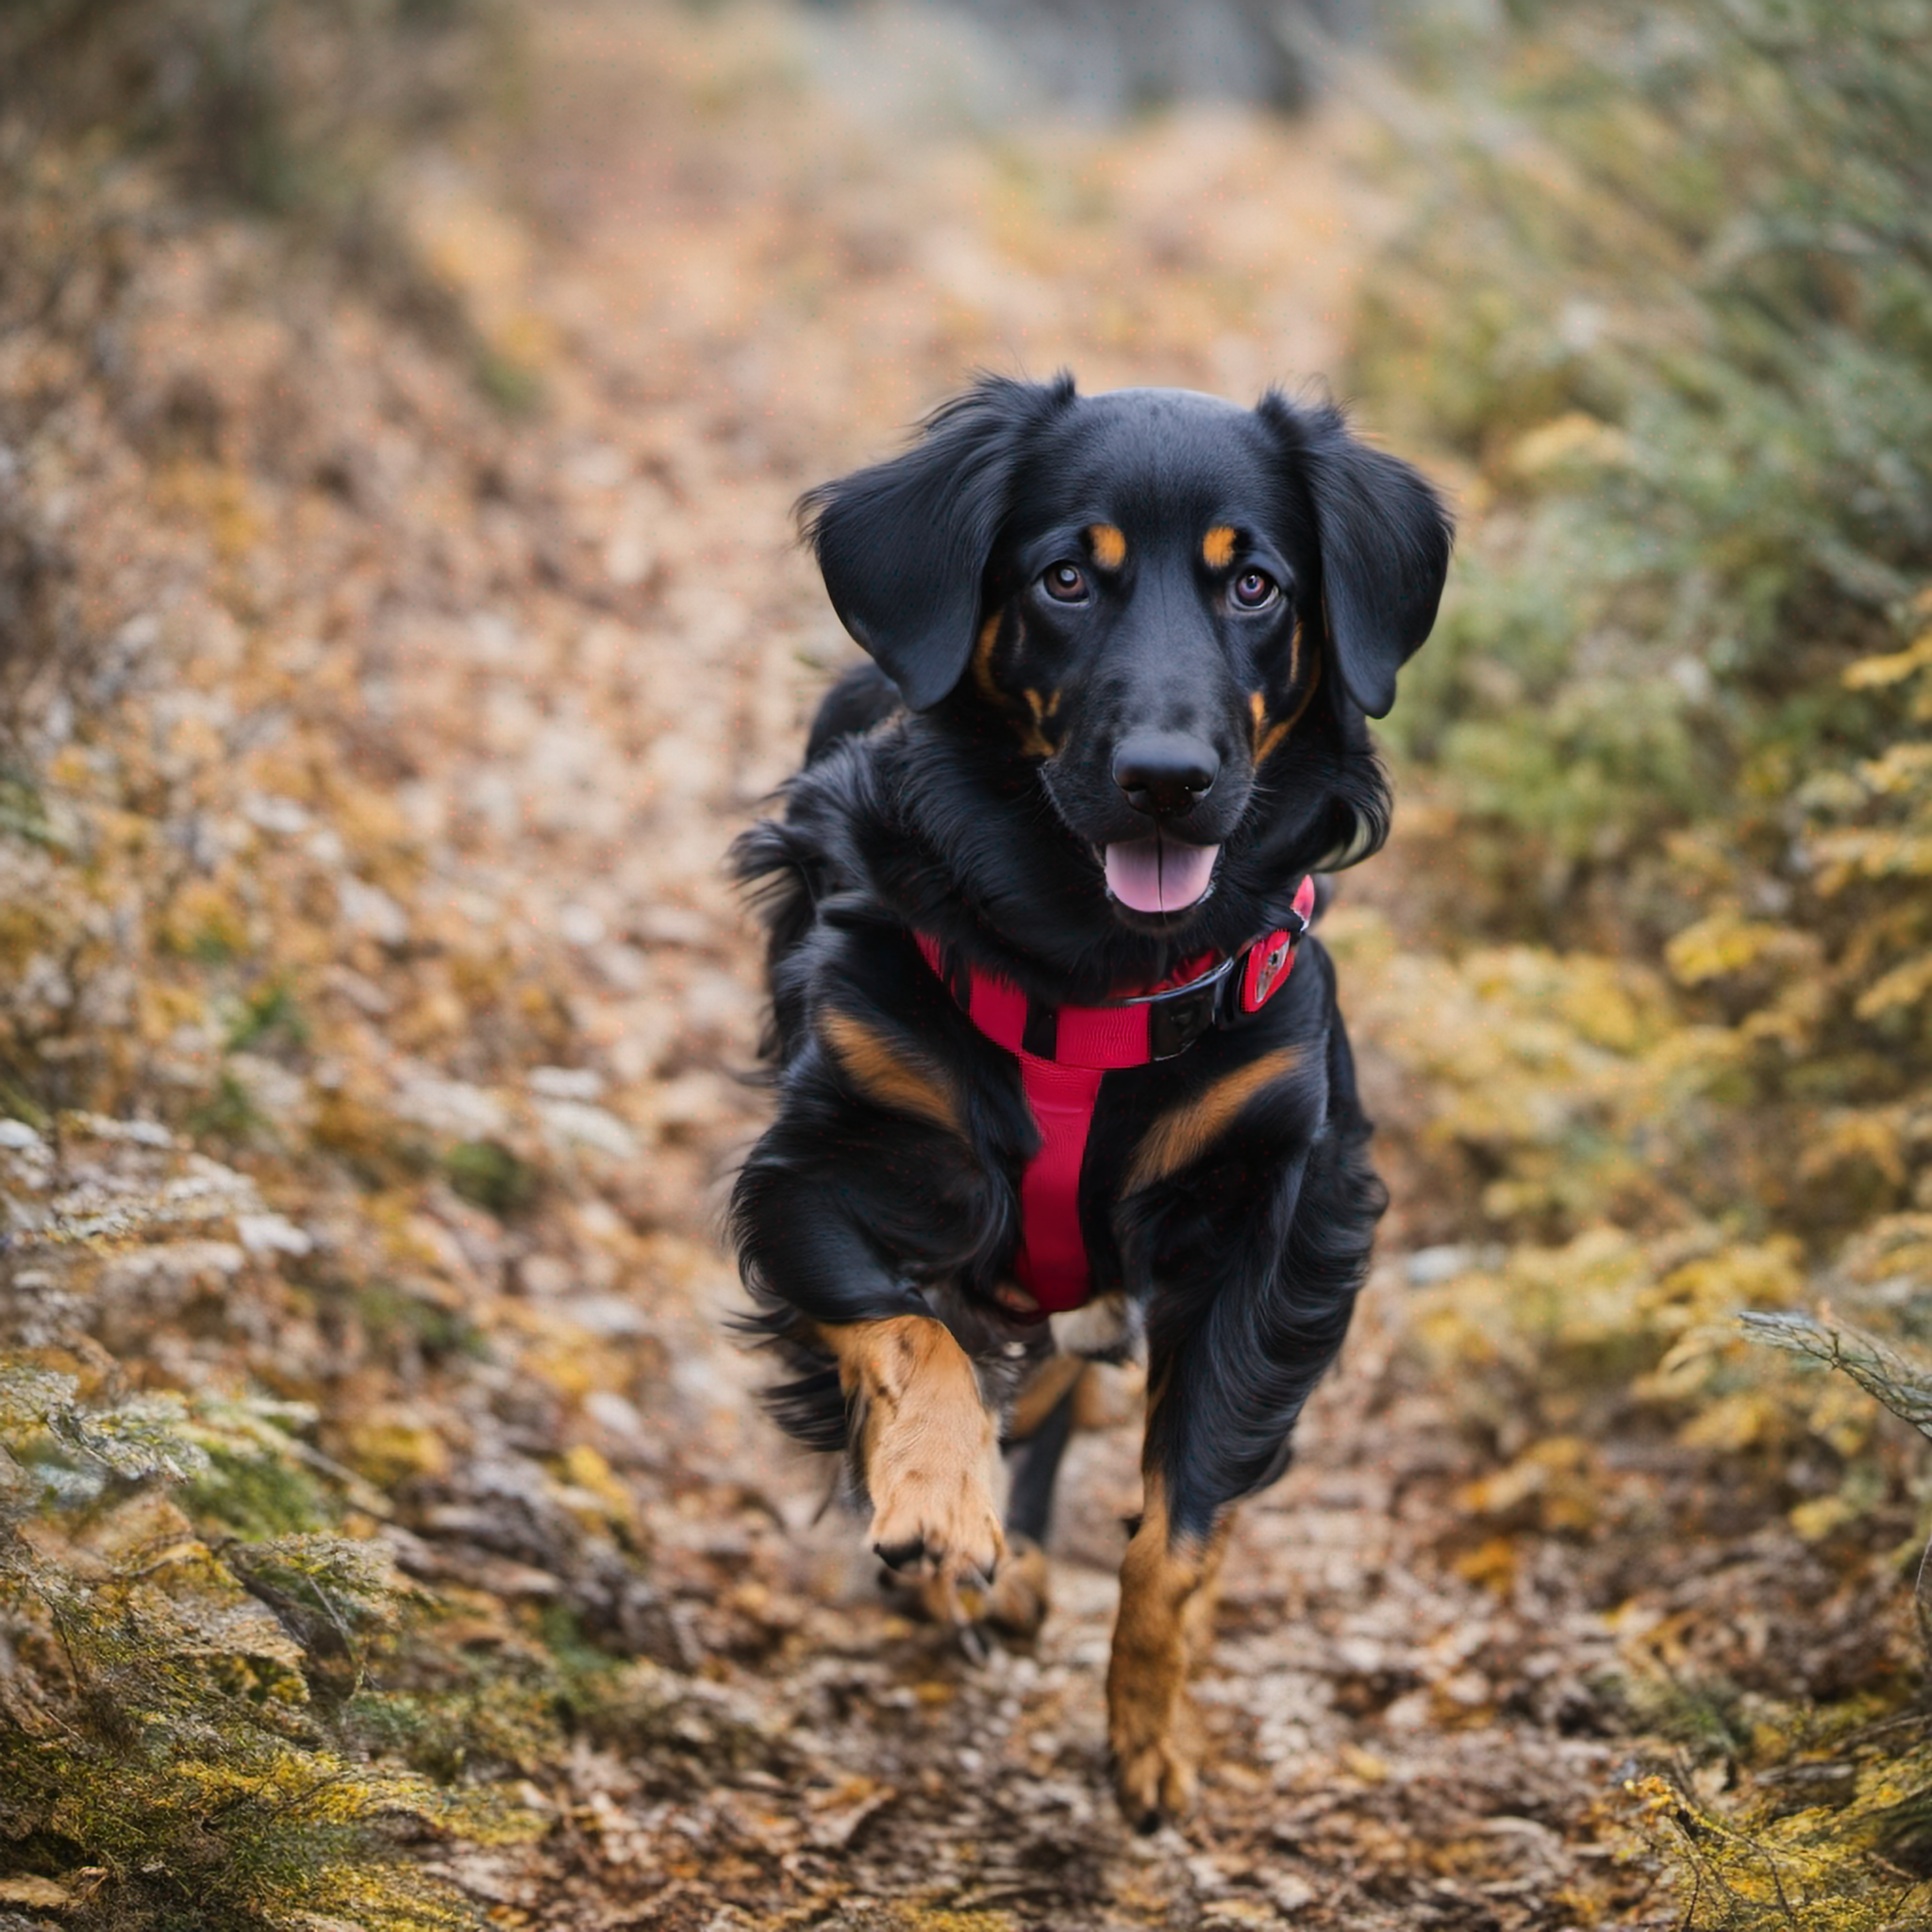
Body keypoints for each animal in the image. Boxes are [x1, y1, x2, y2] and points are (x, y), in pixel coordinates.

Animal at [726, 373, 1453, 1824]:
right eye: (1066, 577)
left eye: (1255, 586)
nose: (1167, 779)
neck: (1094, 966)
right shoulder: (809, 1168)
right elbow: (913, 1332)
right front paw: (938, 1502)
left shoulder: (1285, 1218)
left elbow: (1183, 1525)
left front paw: (1149, 1725)